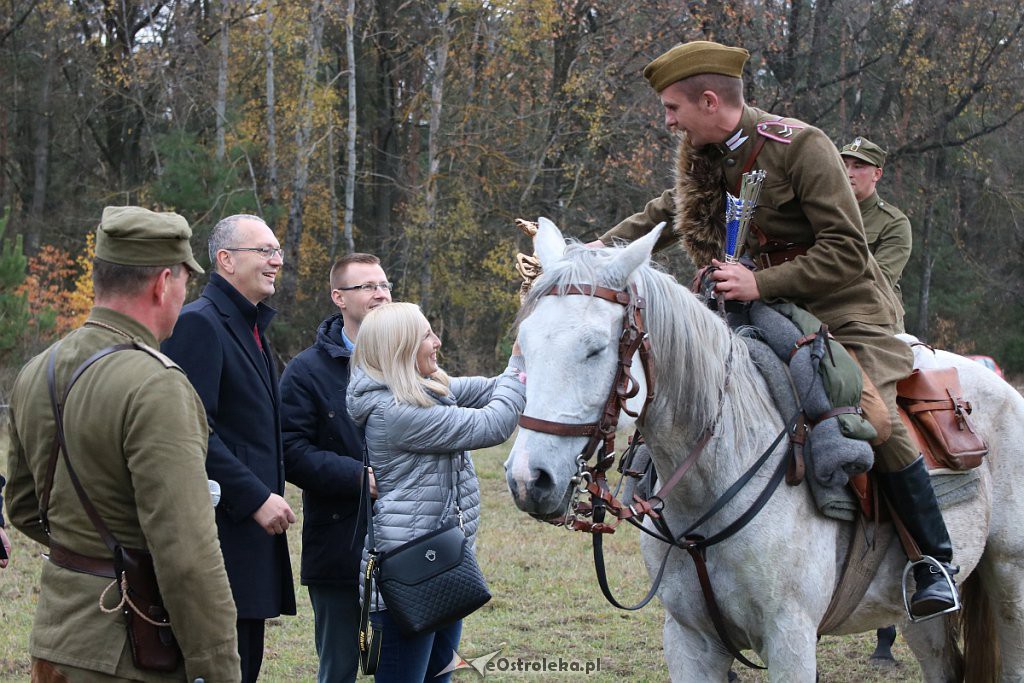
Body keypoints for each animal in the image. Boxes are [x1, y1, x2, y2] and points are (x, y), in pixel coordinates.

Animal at [503, 220, 1024, 683]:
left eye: (596, 349)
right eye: (523, 345)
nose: (529, 480)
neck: (715, 476)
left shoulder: (790, 641)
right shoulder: (690, 641)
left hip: (1009, 581)